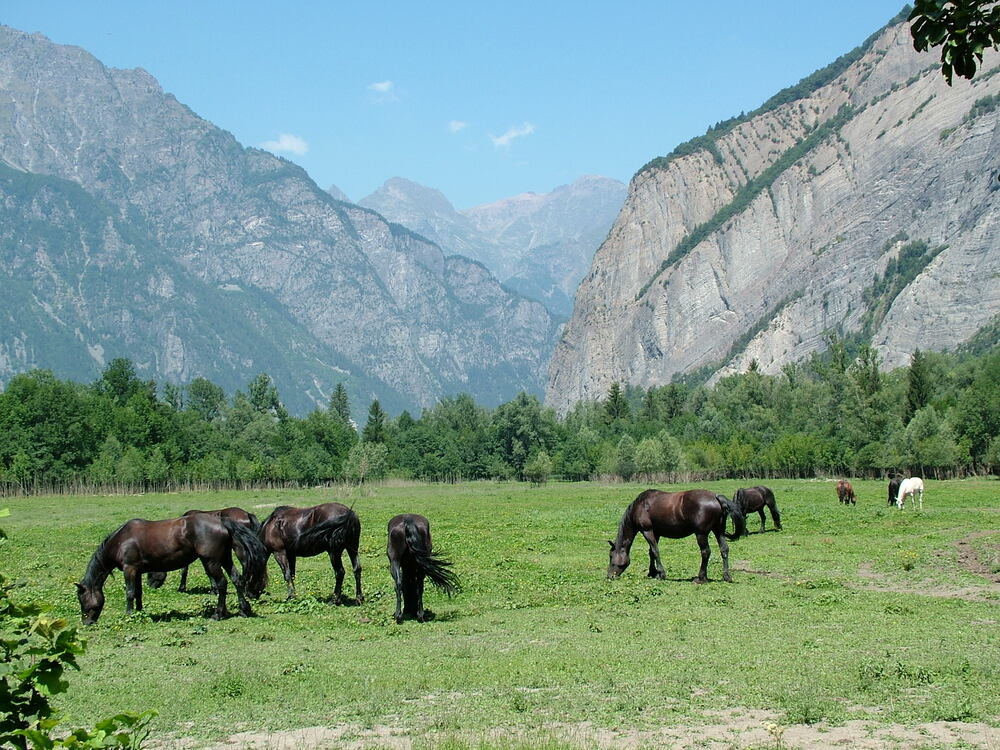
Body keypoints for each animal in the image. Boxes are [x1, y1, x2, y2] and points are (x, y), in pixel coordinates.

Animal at [76, 516, 268, 624]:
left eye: (82, 599)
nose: (87, 622)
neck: (121, 541)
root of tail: (222, 522)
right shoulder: (137, 571)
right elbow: (138, 593)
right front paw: (139, 612)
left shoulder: (129, 569)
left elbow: (129, 593)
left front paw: (129, 615)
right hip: (225, 558)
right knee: (236, 579)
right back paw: (243, 610)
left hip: (211, 561)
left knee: (222, 584)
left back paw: (217, 614)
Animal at [604, 488, 748, 588]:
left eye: (611, 556)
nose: (610, 576)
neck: (641, 505)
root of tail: (716, 497)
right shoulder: (656, 533)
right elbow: (651, 552)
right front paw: (652, 572)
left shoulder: (647, 531)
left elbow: (655, 551)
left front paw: (661, 574)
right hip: (719, 531)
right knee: (724, 549)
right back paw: (726, 576)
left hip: (701, 534)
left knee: (705, 552)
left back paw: (701, 578)